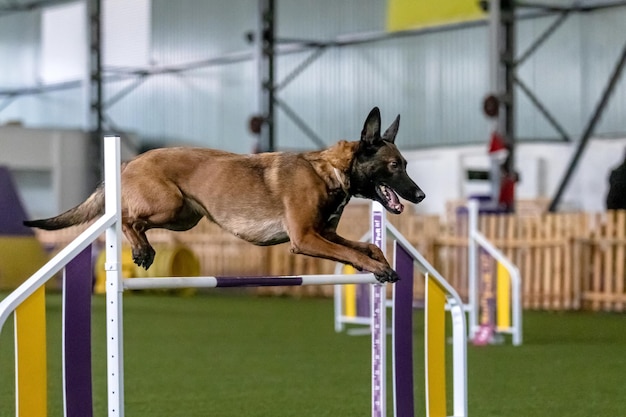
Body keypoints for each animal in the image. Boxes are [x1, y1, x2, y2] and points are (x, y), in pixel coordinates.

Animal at [24, 107, 424, 282]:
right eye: (394, 166)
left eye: (405, 163)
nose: (419, 195)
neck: (330, 170)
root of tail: (129, 160)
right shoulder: (305, 238)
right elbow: (352, 253)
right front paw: (377, 269)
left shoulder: (323, 233)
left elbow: (366, 246)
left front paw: (380, 263)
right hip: (169, 206)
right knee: (126, 218)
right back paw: (141, 250)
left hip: (185, 217)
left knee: (132, 219)